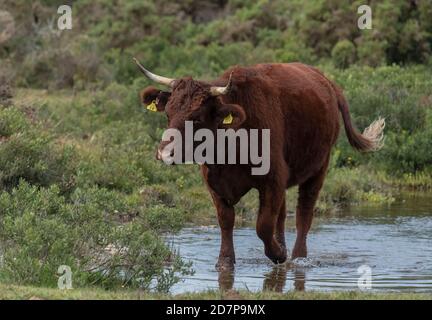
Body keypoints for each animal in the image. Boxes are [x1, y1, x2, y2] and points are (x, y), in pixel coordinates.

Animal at [135, 59, 384, 270]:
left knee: (304, 214)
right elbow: (226, 220)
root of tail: (327, 82)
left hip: (319, 168)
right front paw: (225, 261)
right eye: (168, 113)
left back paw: (297, 257)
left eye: (196, 118)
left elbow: (263, 225)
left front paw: (277, 255)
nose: (164, 153)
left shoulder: (272, 180)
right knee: (282, 215)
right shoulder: (214, 182)